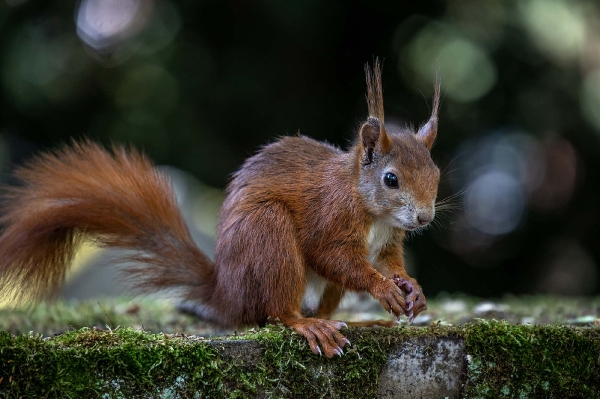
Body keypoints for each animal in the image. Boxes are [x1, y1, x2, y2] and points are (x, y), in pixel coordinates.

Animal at [0, 61, 438, 360]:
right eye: (391, 179)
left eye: (435, 173)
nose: (424, 218)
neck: (373, 211)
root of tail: (227, 293)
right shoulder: (330, 216)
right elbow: (333, 256)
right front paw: (383, 288)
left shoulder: (387, 241)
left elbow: (389, 261)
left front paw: (410, 286)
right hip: (268, 235)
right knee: (277, 312)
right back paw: (309, 325)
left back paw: (361, 320)